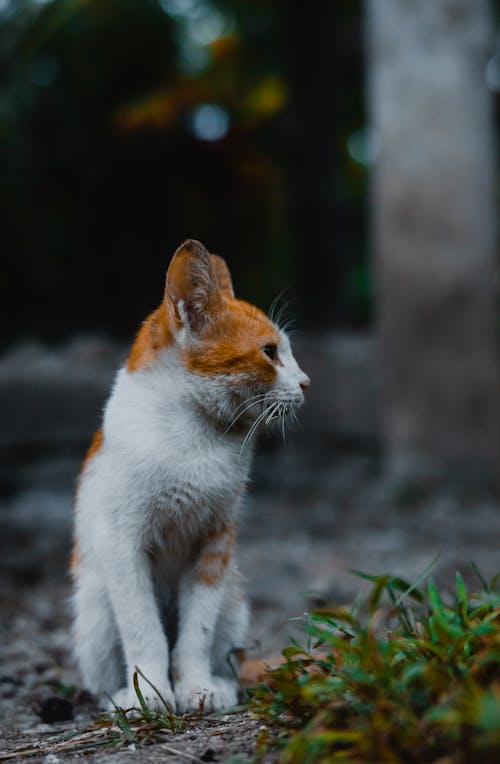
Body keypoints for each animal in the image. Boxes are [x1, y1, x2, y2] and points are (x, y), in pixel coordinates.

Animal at [71, 240, 308, 716]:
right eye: (270, 352)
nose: (307, 383)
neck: (196, 440)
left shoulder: (215, 543)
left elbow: (195, 632)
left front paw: (198, 687)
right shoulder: (120, 543)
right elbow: (144, 630)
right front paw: (148, 695)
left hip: (233, 597)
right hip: (95, 605)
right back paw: (120, 697)